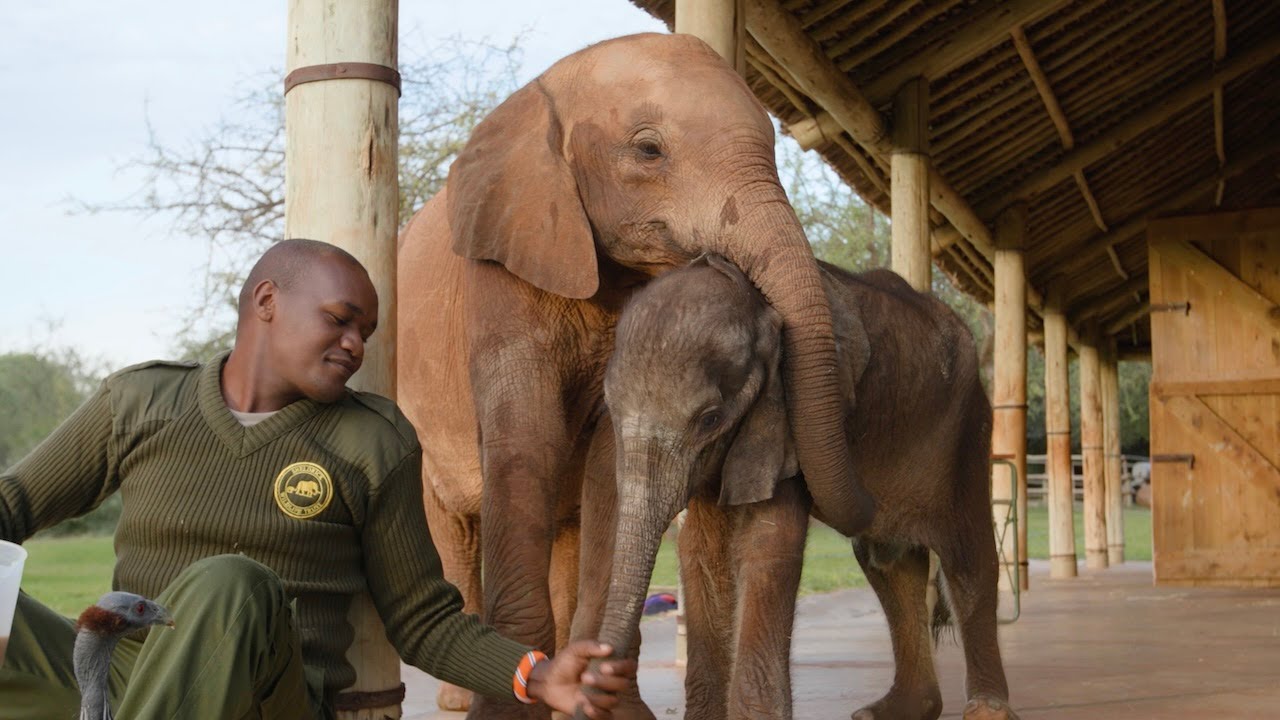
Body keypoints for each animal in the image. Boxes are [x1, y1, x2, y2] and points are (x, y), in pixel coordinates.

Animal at [395, 33, 875, 717]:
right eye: (649, 150)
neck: (548, 88)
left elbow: (608, 463)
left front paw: (601, 700)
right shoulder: (504, 261)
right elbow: (527, 438)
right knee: (454, 524)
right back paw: (459, 699)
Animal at [592, 254, 1015, 720]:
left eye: (709, 419)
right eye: (609, 407)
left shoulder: (785, 420)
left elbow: (768, 544)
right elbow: (701, 553)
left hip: (968, 430)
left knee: (967, 561)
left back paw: (988, 709)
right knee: (889, 562)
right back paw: (892, 710)